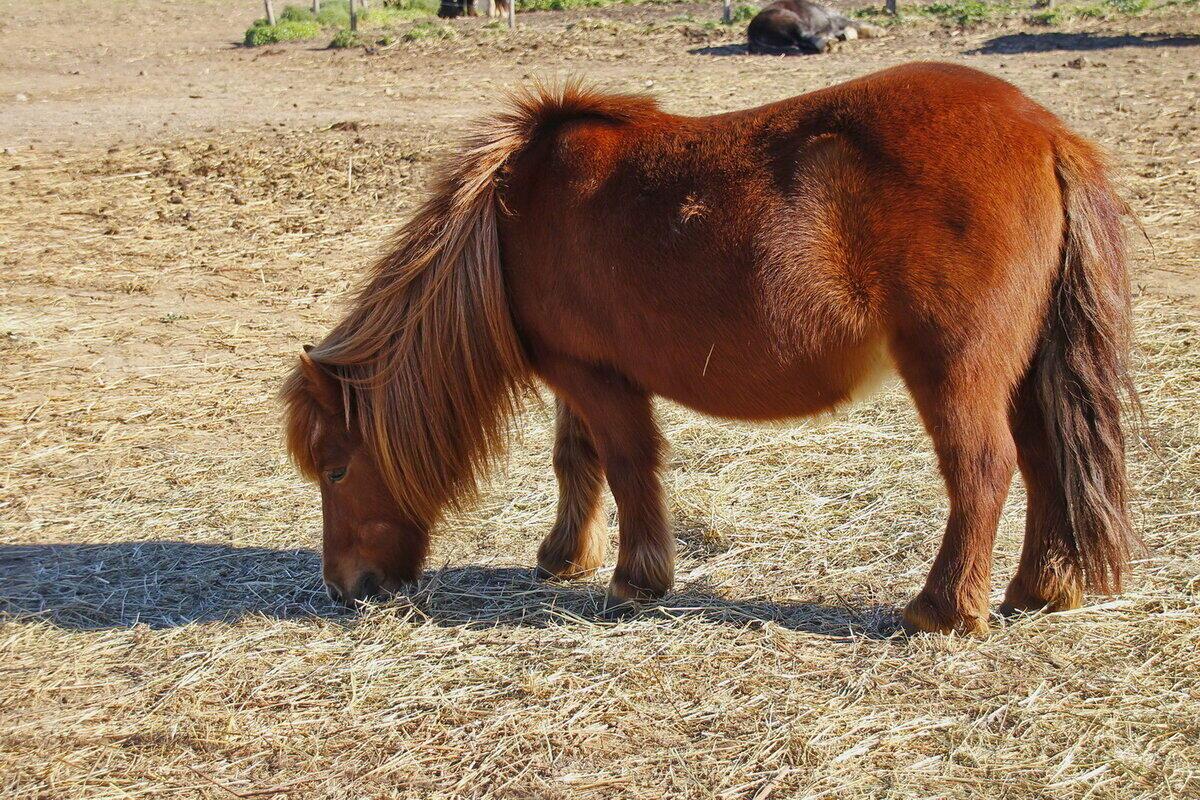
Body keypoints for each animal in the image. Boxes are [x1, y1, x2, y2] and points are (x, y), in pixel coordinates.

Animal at [283, 64, 1142, 638]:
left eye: (336, 469)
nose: (345, 589)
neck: (508, 217)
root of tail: (1045, 132)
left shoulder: (599, 379)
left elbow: (628, 467)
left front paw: (636, 578)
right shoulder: (574, 376)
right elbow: (576, 462)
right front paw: (565, 556)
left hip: (954, 369)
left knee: (983, 471)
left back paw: (942, 610)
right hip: (1020, 372)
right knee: (1043, 461)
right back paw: (1040, 590)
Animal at [748, 0, 883, 54]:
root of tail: (753, 33)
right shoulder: (833, 19)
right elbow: (854, 23)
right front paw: (877, 31)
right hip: (792, 21)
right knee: (807, 36)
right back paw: (831, 45)